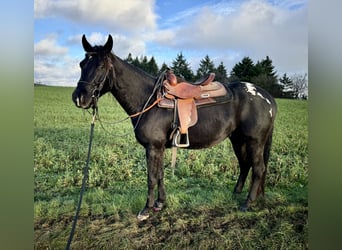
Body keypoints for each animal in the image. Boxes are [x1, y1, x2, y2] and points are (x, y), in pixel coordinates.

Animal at [72, 34, 278, 221]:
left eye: (101, 66)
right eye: (82, 64)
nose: (79, 98)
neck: (148, 100)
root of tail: (267, 97)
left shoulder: (153, 147)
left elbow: (151, 178)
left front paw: (146, 209)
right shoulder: (160, 147)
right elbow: (160, 175)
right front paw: (160, 203)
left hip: (255, 141)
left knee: (258, 168)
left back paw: (248, 202)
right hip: (238, 140)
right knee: (245, 164)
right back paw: (237, 193)